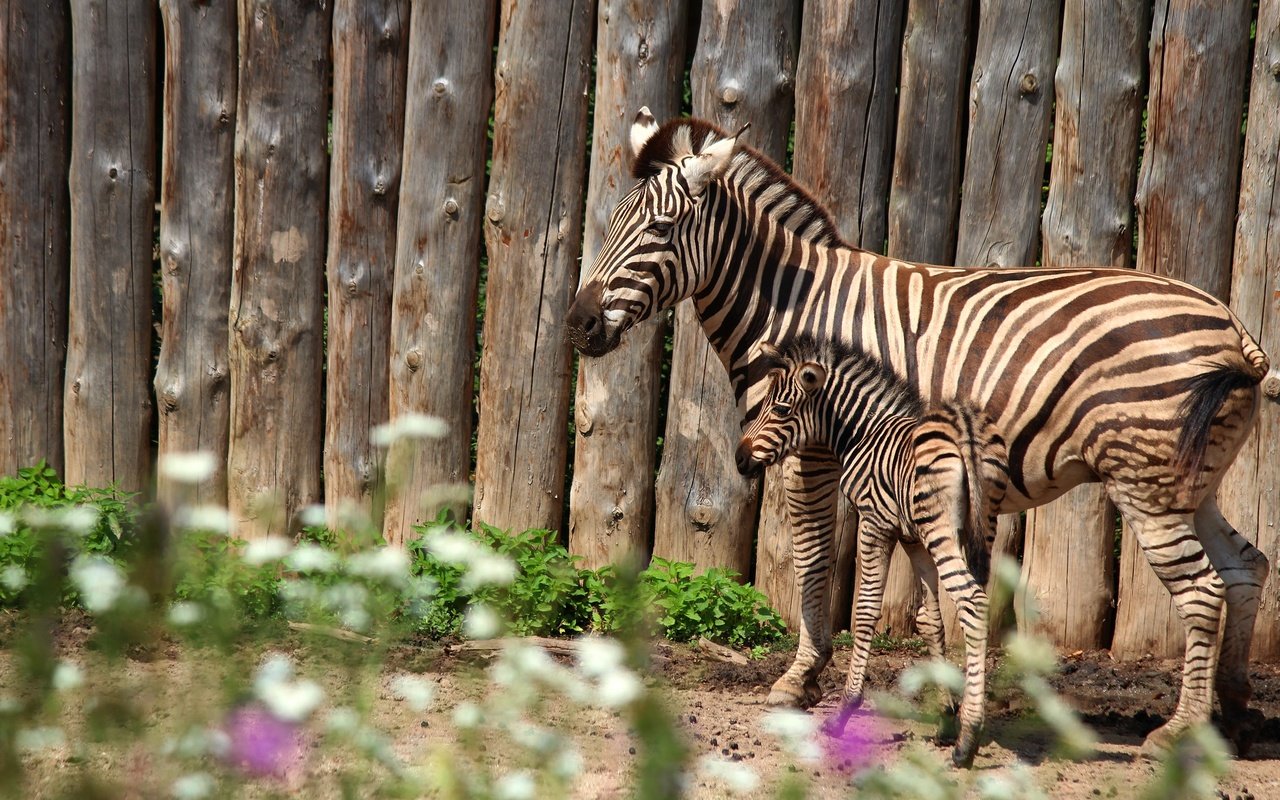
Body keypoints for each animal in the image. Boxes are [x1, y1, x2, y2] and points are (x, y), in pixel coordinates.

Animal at [737, 332, 1003, 762]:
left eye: (780, 409)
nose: (740, 459)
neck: (865, 432)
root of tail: (963, 427)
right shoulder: (913, 538)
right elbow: (932, 622)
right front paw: (945, 717)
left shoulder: (875, 521)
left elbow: (864, 613)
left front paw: (846, 709)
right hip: (980, 525)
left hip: (943, 532)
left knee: (973, 602)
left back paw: (969, 740)